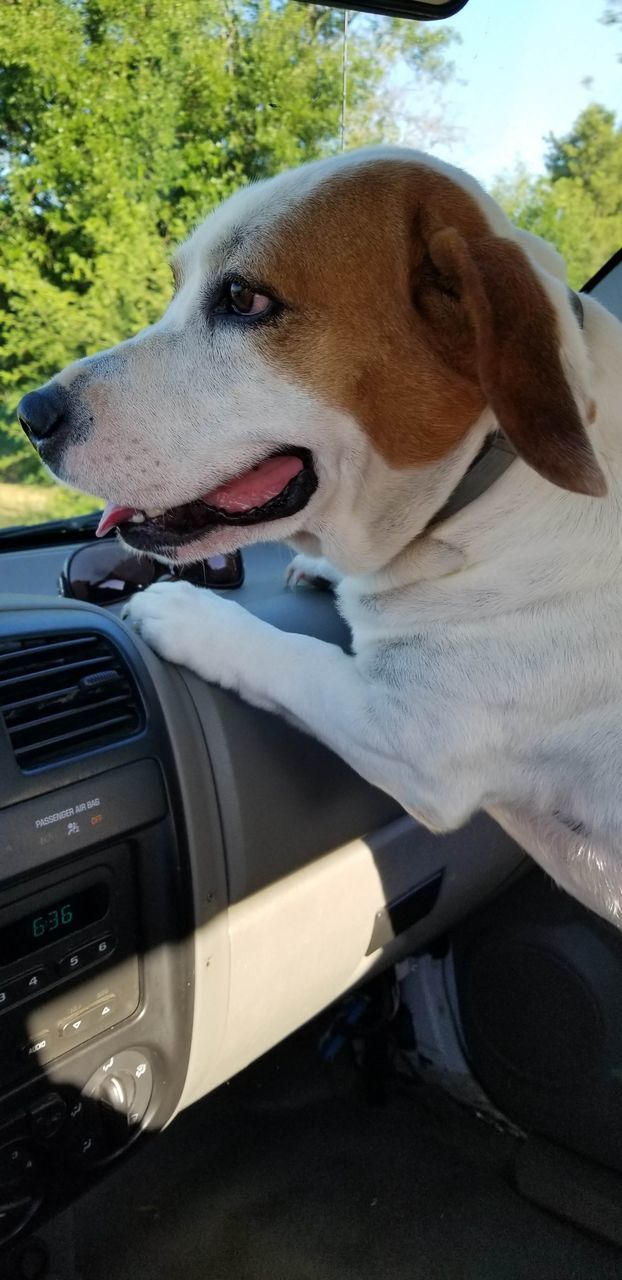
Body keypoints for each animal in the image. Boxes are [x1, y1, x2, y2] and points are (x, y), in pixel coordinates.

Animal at [17, 147, 622, 931]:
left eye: (244, 300)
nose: (31, 414)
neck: (486, 475)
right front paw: (318, 570)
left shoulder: (412, 735)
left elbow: (291, 655)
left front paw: (189, 615)